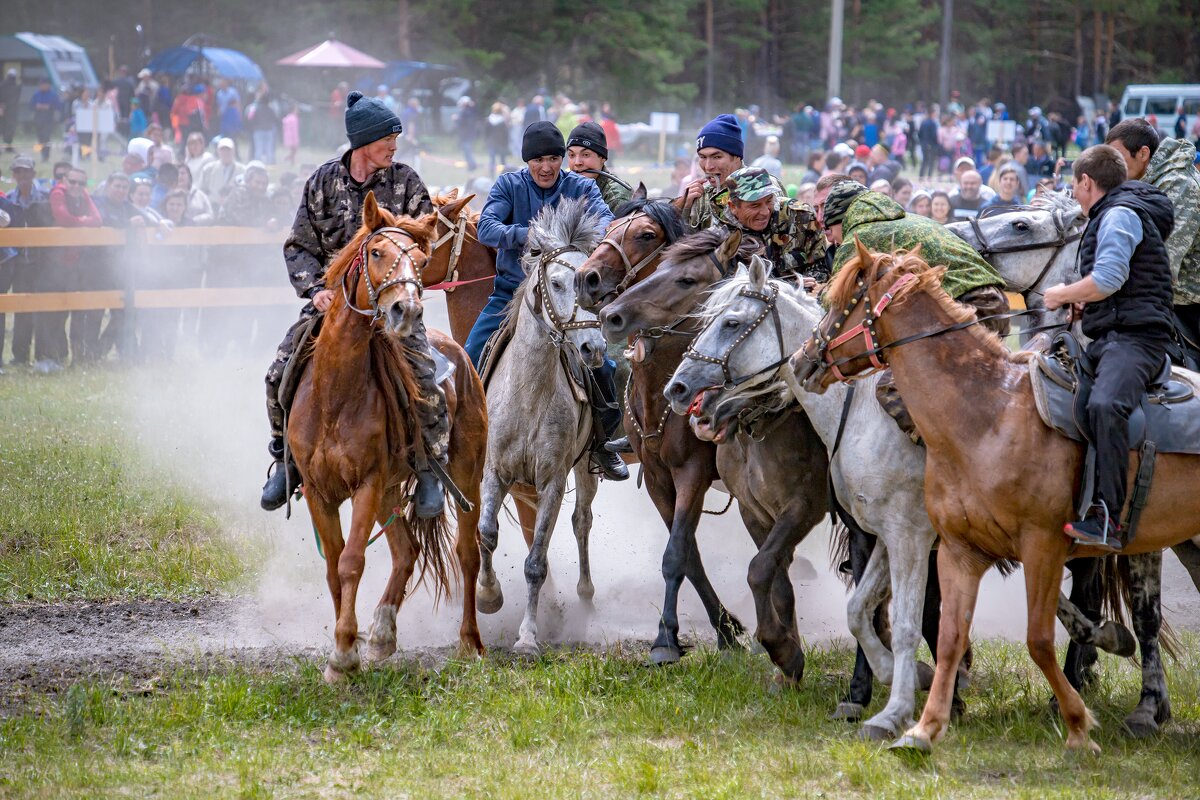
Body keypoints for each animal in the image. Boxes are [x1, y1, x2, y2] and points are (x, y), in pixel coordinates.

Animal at [288, 191, 489, 681]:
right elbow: (333, 566)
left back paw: (470, 642)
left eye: (420, 259)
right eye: (376, 252)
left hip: (464, 474)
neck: (334, 395)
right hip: (392, 491)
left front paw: (343, 653)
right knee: (407, 549)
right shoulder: (320, 491)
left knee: (467, 552)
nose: (407, 310)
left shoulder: (367, 484)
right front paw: (348, 648)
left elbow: (351, 562)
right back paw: (381, 633)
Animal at [475, 199, 609, 657]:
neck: (528, 393)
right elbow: (487, 534)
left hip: (585, 467)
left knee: (582, 521)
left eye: (594, 286)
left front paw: (528, 637)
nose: (593, 348)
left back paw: (586, 594)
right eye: (556, 282)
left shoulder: (552, 478)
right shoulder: (495, 472)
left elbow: (536, 562)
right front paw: (488, 596)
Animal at [792, 241, 1200, 753]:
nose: (802, 361)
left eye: (837, 302)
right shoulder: (956, 550)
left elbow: (1035, 638)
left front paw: (1078, 726)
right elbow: (942, 634)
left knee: (1133, 615)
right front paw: (922, 727)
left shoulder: (1035, 546)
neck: (985, 416)